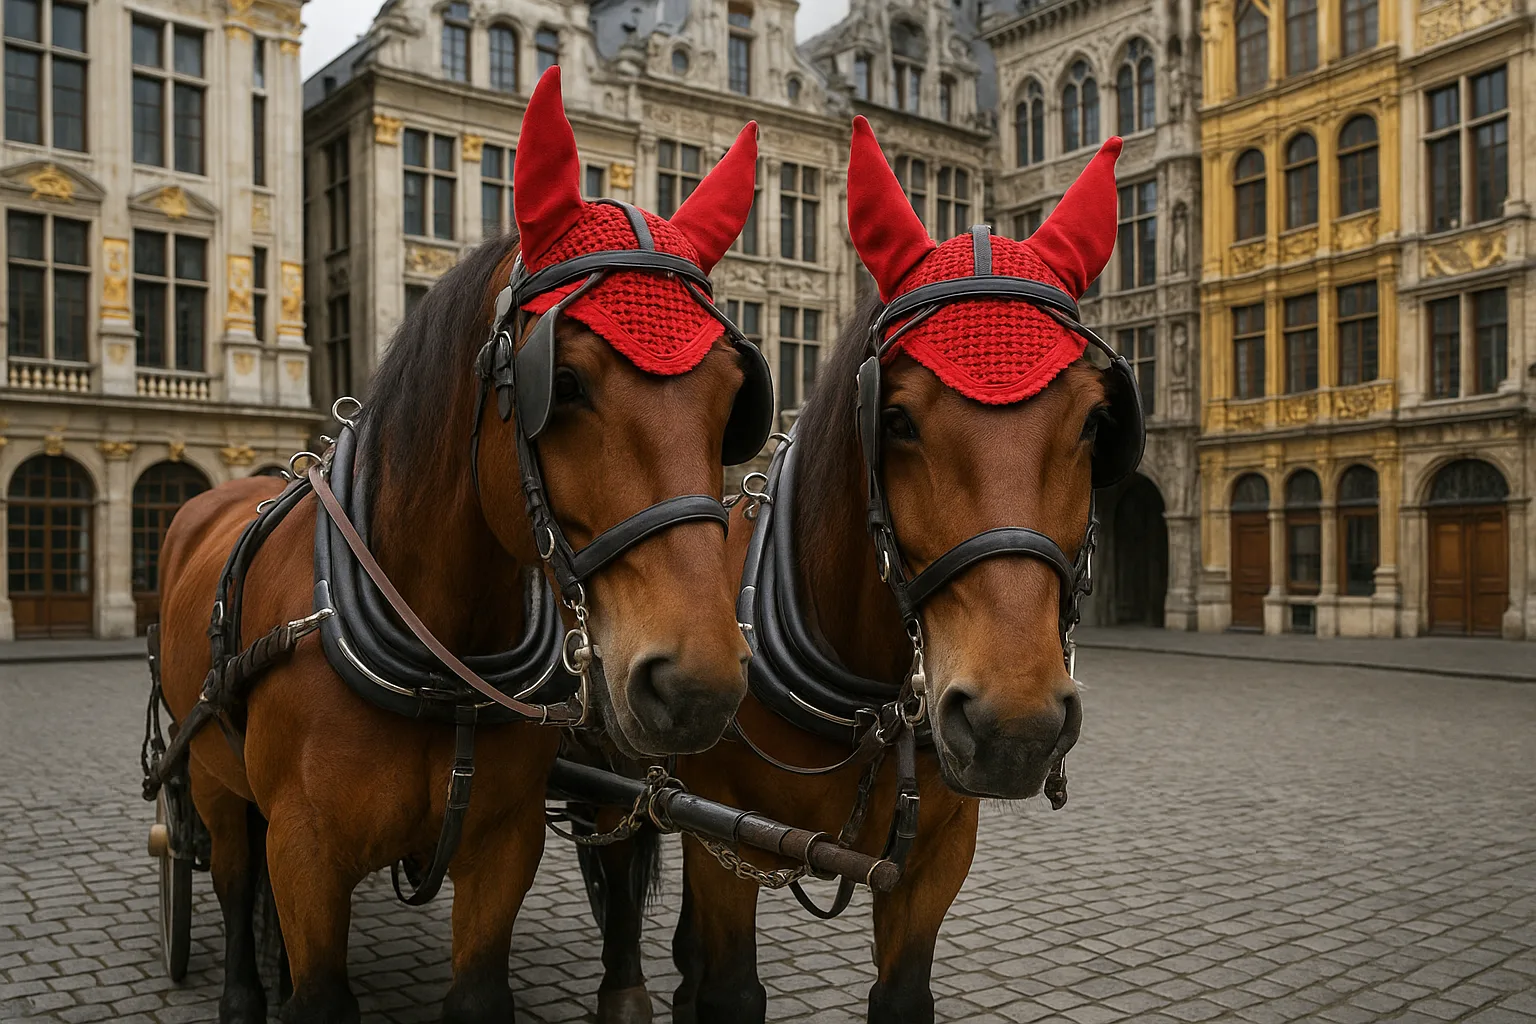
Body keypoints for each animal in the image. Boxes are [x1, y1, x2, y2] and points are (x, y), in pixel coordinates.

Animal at [154, 68, 769, 1024]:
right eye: (568, 381)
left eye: (737, 392)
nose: (696, 684)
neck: (438, 660)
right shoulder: (304, 851)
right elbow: (310, 976)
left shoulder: (502, 846)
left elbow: (483, 985)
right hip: (215, 781)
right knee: (227, 874)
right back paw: (244, 991)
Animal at [581, 122, 1143, 1024]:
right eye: (897, 418)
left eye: (1096, 421)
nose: (1014, 725)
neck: (867, 700)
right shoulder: (724, 833)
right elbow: (732, 989)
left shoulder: (936, 856)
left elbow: (902, 994)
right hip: (613, 767)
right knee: (621, 868)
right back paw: (628, 991)